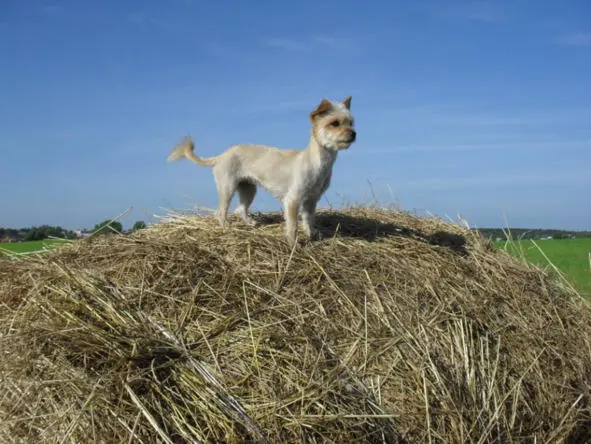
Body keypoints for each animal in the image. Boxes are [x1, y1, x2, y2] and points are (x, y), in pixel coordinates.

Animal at [166, 96, 356, 246]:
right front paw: (293, 244)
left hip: (248, 189)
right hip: (227, 188)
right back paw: (226, 227)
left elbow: (309, 220)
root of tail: (220, 156)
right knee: (220, 212)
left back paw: (251, 223)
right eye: (334, 123)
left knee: (240, 210)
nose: (353, 134)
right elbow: (293, 226)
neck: (318, 162)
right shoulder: (292, 199)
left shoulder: (311, 200)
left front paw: (311, 235)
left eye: (351, 122)